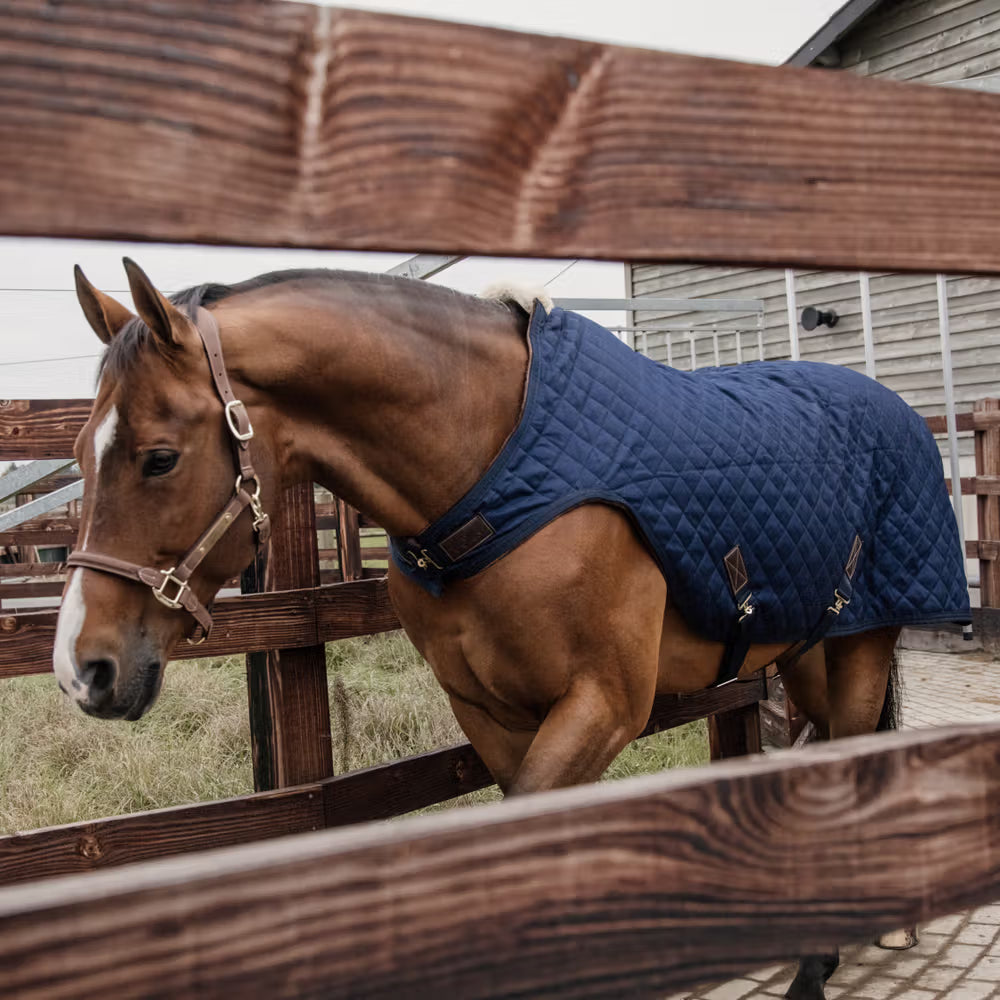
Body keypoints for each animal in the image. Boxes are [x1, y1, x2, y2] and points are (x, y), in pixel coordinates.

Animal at [55, 260, 970, 1000]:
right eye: (80, 449)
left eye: (159, 457)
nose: (83, 669)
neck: (493, 472)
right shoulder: (488, 712)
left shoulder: (603, 705)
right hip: (808, 647)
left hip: (863, 641)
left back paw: (822, 960)